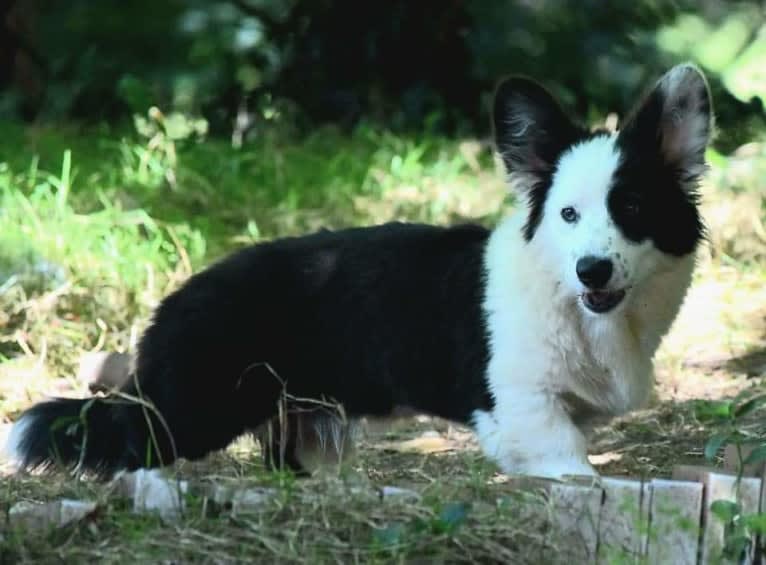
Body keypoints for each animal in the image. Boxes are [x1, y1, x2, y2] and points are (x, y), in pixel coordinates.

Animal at [6, 64, 712, 478]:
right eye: (567, 214)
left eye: (631, 208)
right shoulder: (523, 409)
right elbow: (575, 470)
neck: (576, 306)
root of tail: (177, 299)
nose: (592, 271)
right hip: (188, 409)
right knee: (134, 445)